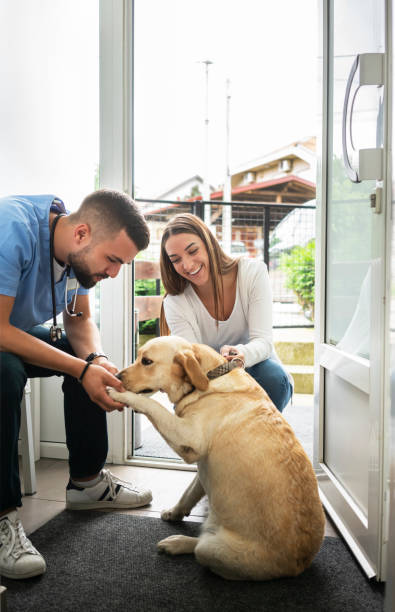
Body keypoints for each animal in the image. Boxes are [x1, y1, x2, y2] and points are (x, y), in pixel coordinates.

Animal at [108, 334, 324, 580]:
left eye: (146, 361)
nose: (117, 376)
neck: (208, 378)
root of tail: (299, 565)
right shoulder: (202, 463)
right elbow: (189, 492)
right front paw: (175, 512)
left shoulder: (189, 436)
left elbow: (151, 405)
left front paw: (119, 393)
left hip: (210, 549)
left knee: (200, 546)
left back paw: (177, 543)